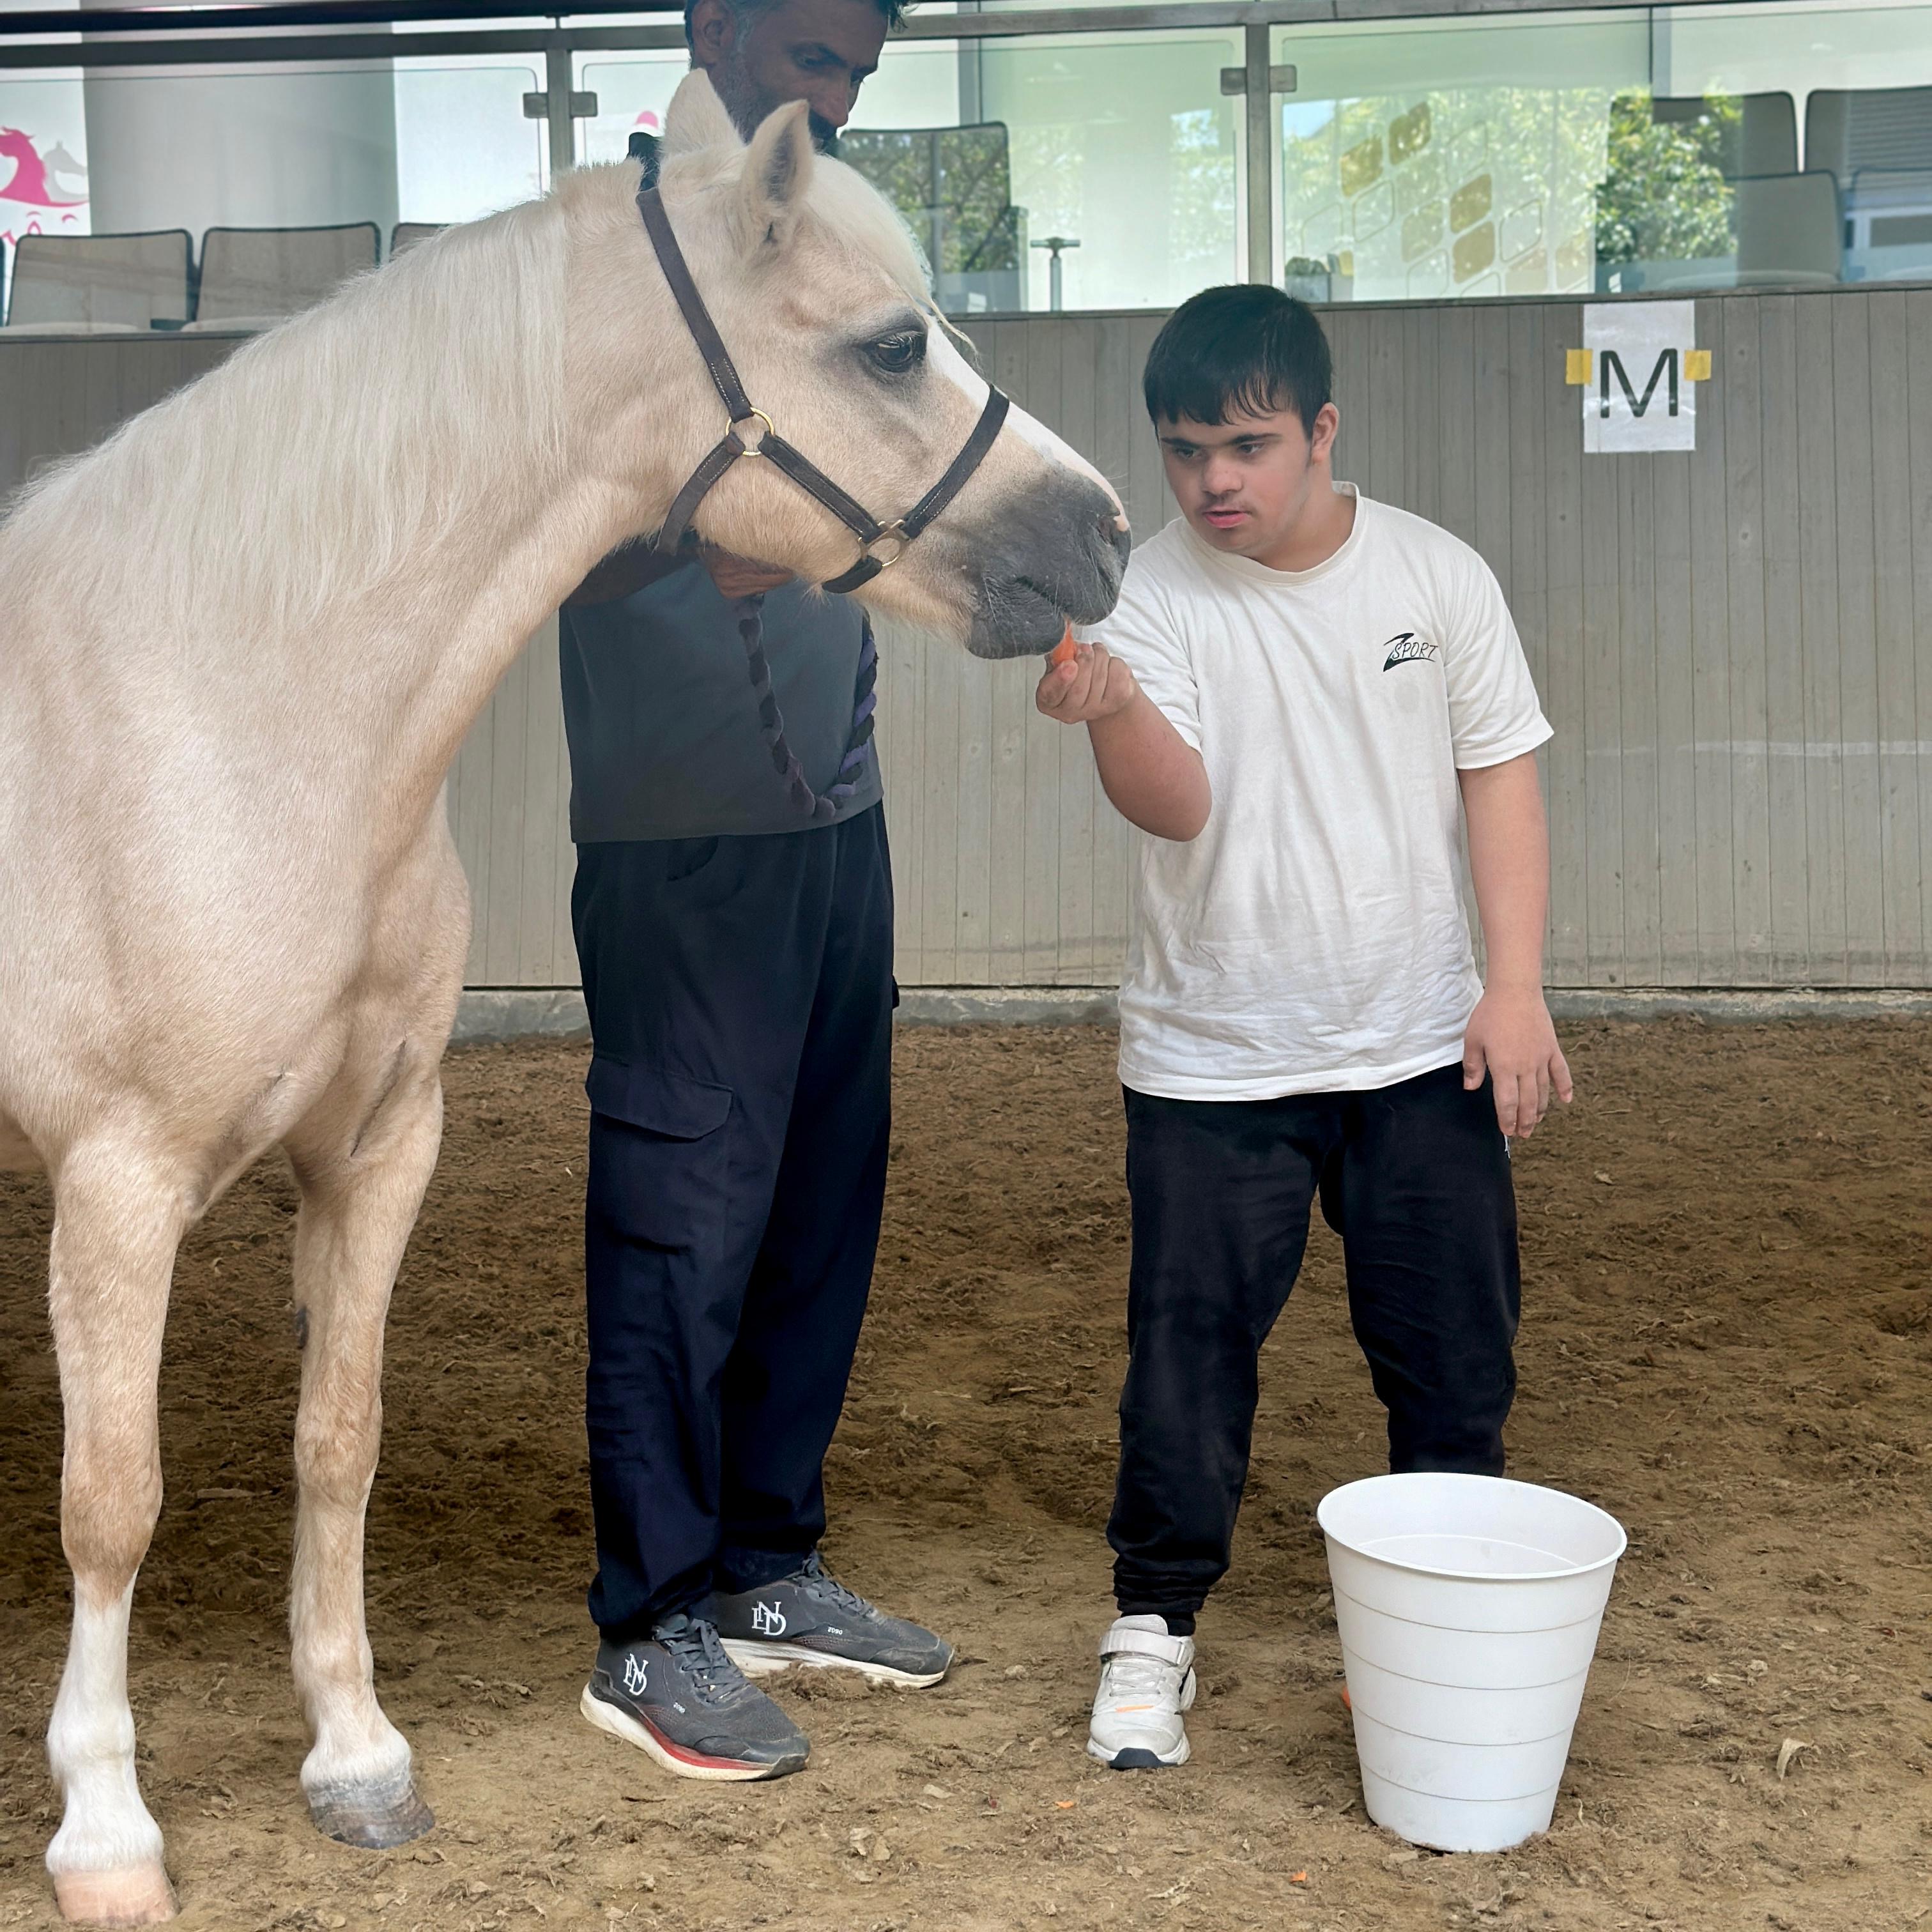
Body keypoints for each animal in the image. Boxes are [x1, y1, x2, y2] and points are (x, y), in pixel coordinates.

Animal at [0, 68, 1128, 1924]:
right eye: (896, 345)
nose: (1101, 531)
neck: (233, 703)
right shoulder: (118, 1181)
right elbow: (116, 1500)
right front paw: (104, 1826)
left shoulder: (378, 1148)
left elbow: (338, 1439)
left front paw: (357, 1754)